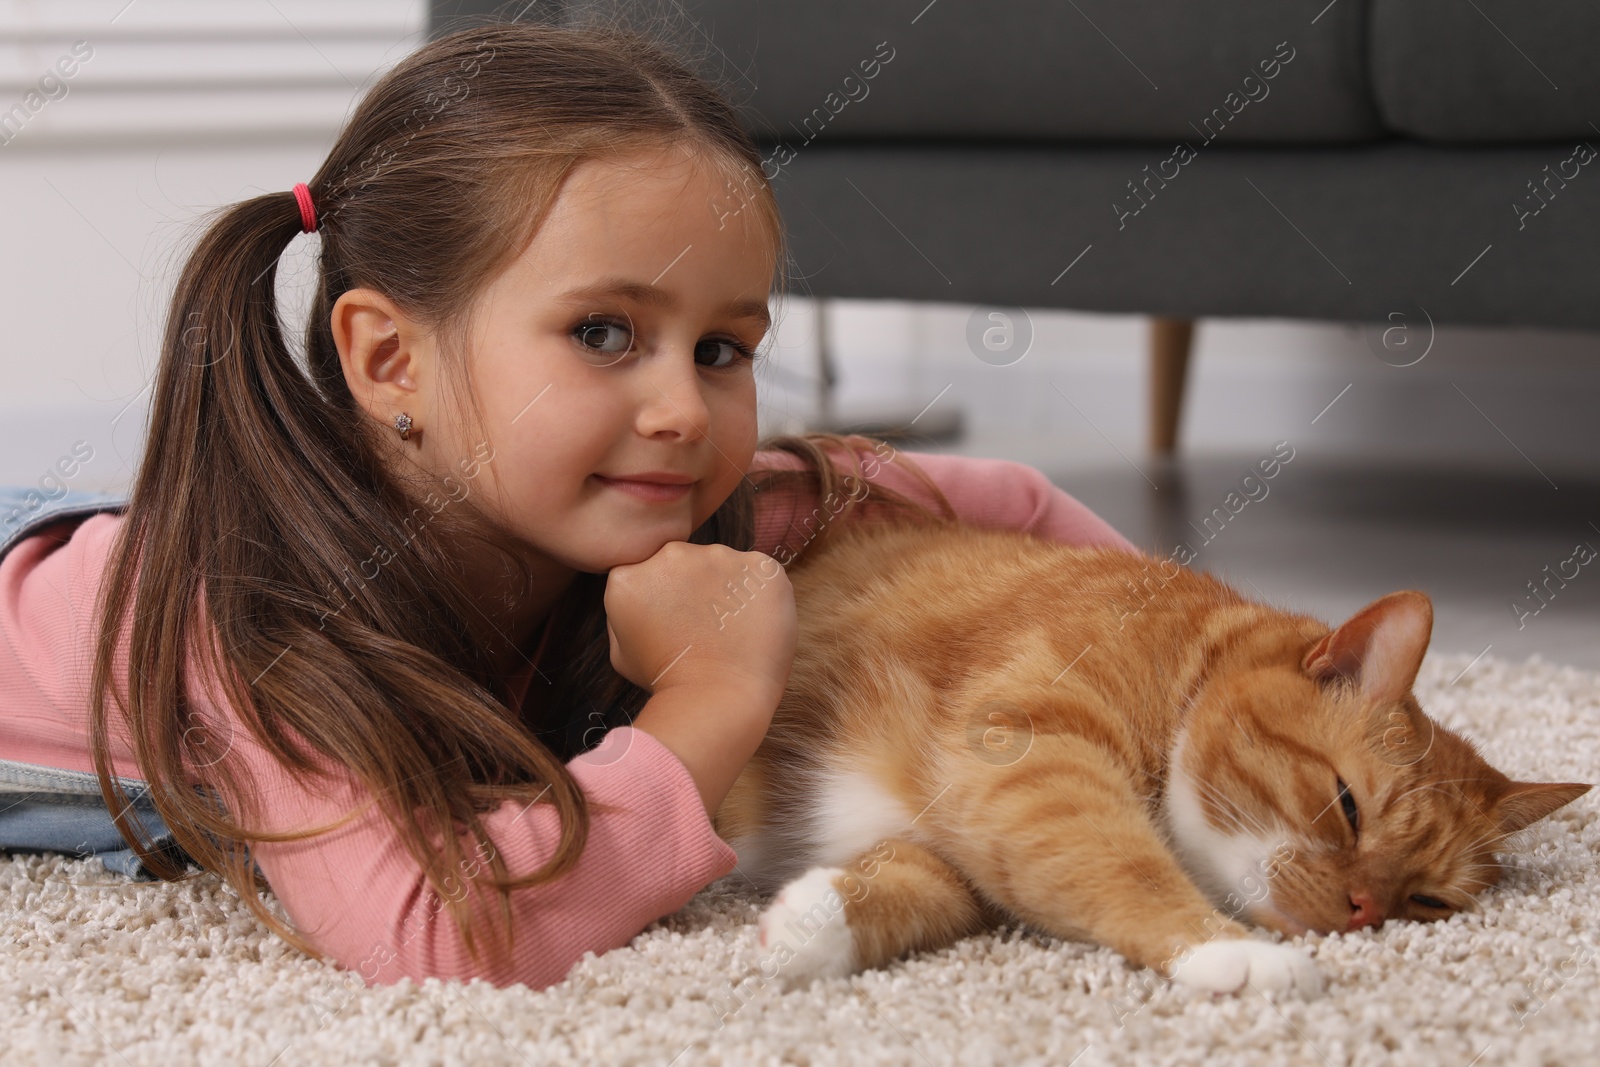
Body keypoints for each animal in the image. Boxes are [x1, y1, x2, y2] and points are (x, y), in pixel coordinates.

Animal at [720, 521, 1593, 998]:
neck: (1178, 667)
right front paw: (1235, 951)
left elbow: (925, 886)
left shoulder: (964, 831)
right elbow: (1122, 862)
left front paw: (814, 925)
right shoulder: (1036, 759)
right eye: (1348, 805)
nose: (1364, 910)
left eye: (1427, 901)